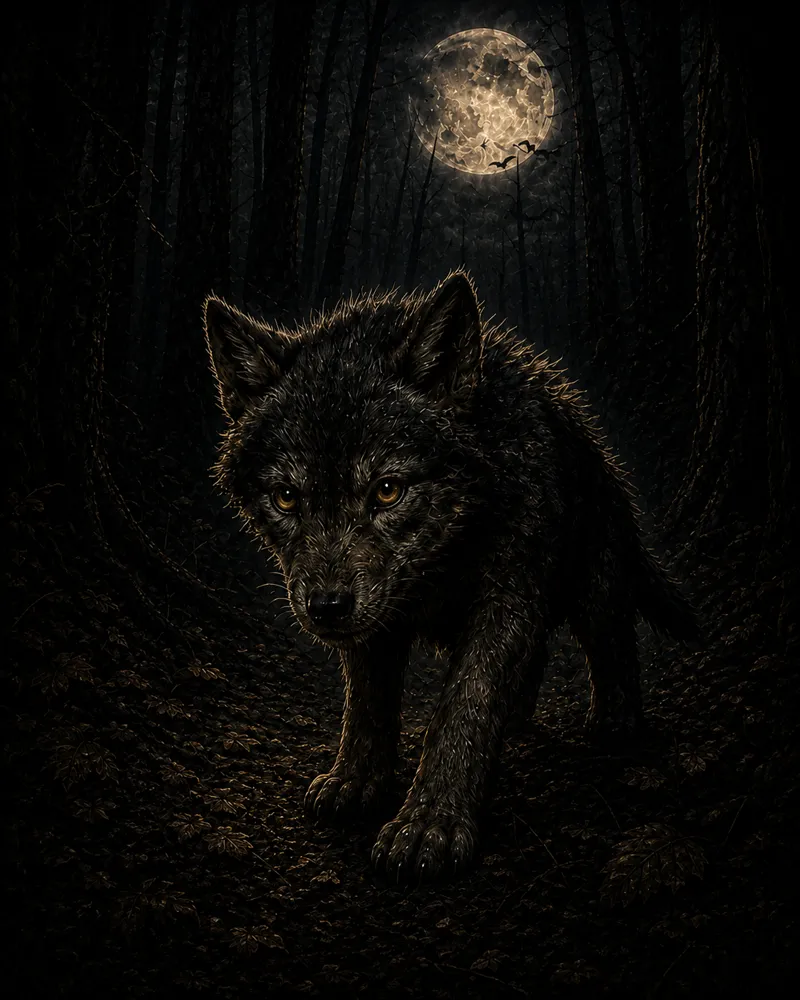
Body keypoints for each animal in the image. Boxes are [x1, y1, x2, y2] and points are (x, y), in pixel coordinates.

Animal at [203, 272, 697, 882]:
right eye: (287, 498)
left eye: (387, 490)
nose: (327, 606)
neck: (440, 562)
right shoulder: (374, 625)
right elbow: (367, 700)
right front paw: (355, 782)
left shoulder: (504, 601)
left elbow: (465, 704)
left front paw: (428, 826)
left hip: (595, 587)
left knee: (613, 646)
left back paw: (614, 727)